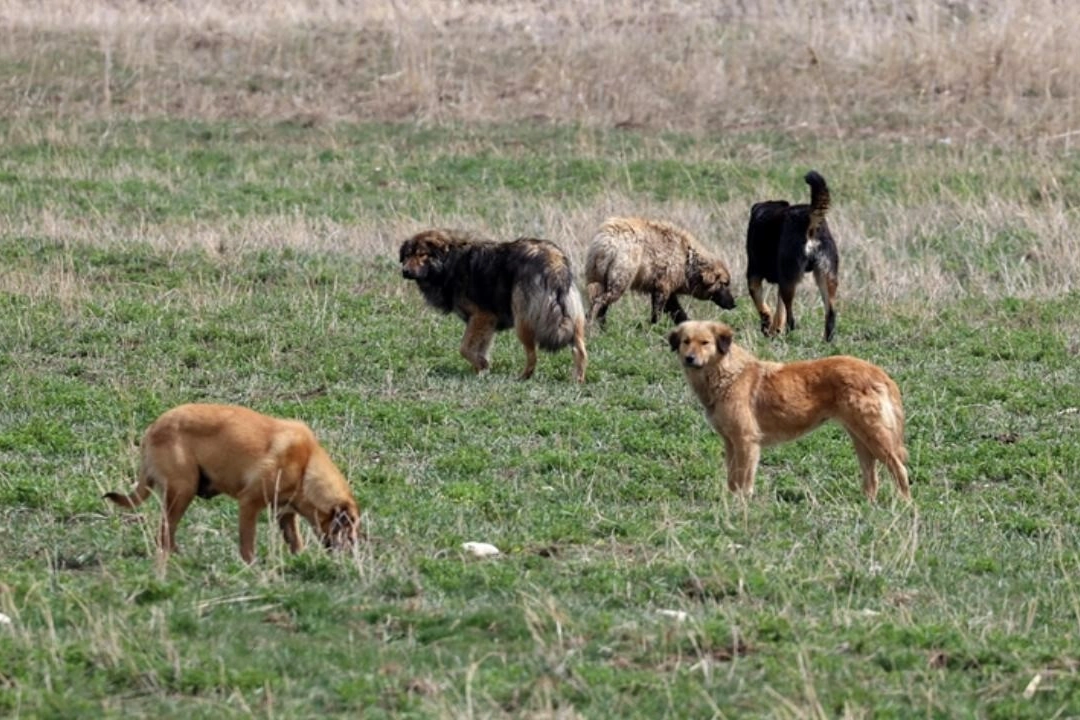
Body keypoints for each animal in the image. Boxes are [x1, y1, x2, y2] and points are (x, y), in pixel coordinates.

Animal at [105, 405, 360, 561]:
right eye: (349, 528)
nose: (354, 553)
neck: (306, 466)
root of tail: (152, 430)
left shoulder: (285, 513)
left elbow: (295, 541)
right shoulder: (249, 503)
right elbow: (247, 543)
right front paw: (251, 566)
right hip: (183, 491)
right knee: (164, 533)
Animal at [399, 231, 587, 382]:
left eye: (422, 255)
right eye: (407, 256)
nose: (405, 272)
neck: (450, 262)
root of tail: (554, 260)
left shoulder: (482, 316)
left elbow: (464, 348)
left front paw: (483, 365)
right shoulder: (486, 323)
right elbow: (478, 349)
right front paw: (481, 372)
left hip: (522, 322)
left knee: (533, 355)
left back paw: (523, 377)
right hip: (574, 320)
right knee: (580, 350)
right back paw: (577, 380)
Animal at [587, 216, 738, 330]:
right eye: (725, 284)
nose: (733, 304)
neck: (687, 262)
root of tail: (606, 240)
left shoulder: (668, 289)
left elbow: (679, 313)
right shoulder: (663, 285)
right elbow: (658, 312)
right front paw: (654, 329)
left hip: (598, 276)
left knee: (600, 302)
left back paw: (601, 328)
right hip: (621, 278)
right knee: (600, 301)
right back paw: (594, 326)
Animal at [665, 323, 911, 505]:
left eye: (705, 343)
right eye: (686, 342)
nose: (689, 358)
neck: (727, 374)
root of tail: (879, 373)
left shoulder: (746, 441)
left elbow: (743, 479)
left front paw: (741, 505)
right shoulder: (731, 442)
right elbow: (732, 478)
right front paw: (731, 501)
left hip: (875, 437)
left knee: (900, 469)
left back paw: (904, 504)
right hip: (861, 439)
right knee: (872, 478)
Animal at [747, 170, 838, 343]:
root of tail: (810, 219)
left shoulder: (753, 274)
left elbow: (762, 306)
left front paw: (767, 326)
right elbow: (778, 311)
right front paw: (774, 330)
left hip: (789, 278)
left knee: (791, 318)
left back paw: (790, 336)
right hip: (826, 276)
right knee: (830, 313)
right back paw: (826, 342)